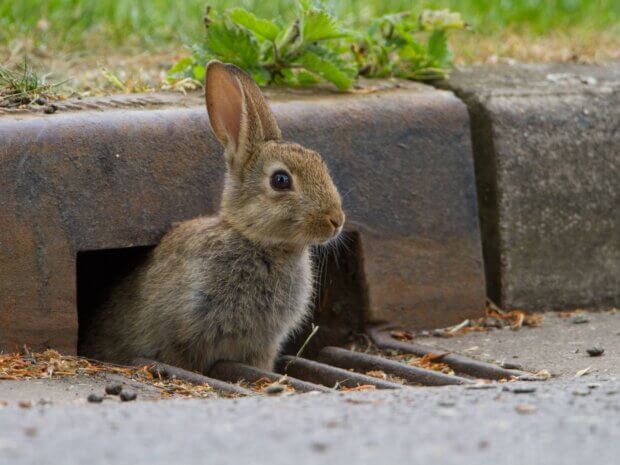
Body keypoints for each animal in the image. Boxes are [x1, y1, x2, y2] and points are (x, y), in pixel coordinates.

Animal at [78, 60, 344, 374]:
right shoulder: (183, 334)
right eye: (280, 180)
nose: (336, 220)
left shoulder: (261, 347)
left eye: (321, 163)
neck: (257, 241)